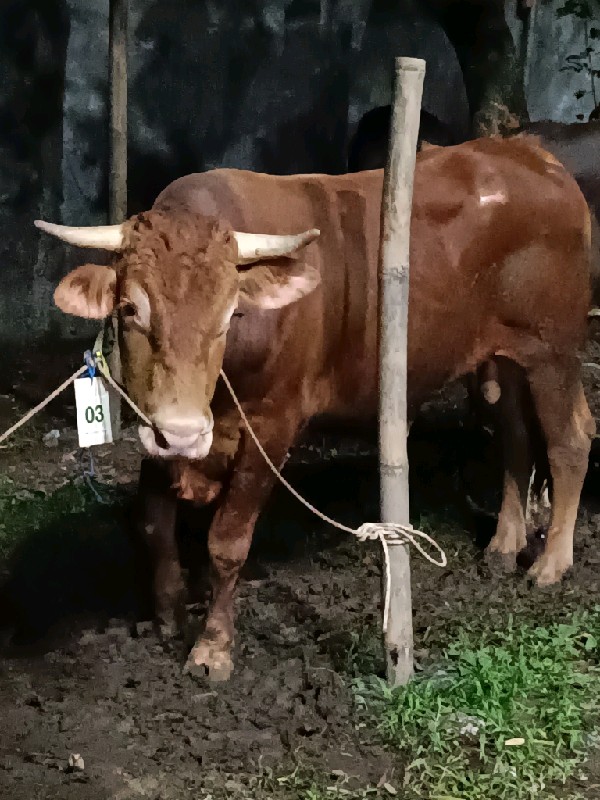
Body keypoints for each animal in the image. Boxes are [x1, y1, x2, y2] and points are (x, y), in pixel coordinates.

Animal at [36, 136, 596, 681]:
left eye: (230, 312)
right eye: (130, 308)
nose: (183, 433)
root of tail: (532, 153)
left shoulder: (273, 424)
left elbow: (227, 541)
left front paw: (213, 650)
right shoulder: (155, 425)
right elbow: (153, 522)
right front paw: (167, 616)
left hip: (554, 349)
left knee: (570, 438)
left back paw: (550, 563)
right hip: (501, 358)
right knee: (516, 435)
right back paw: (504, 544)